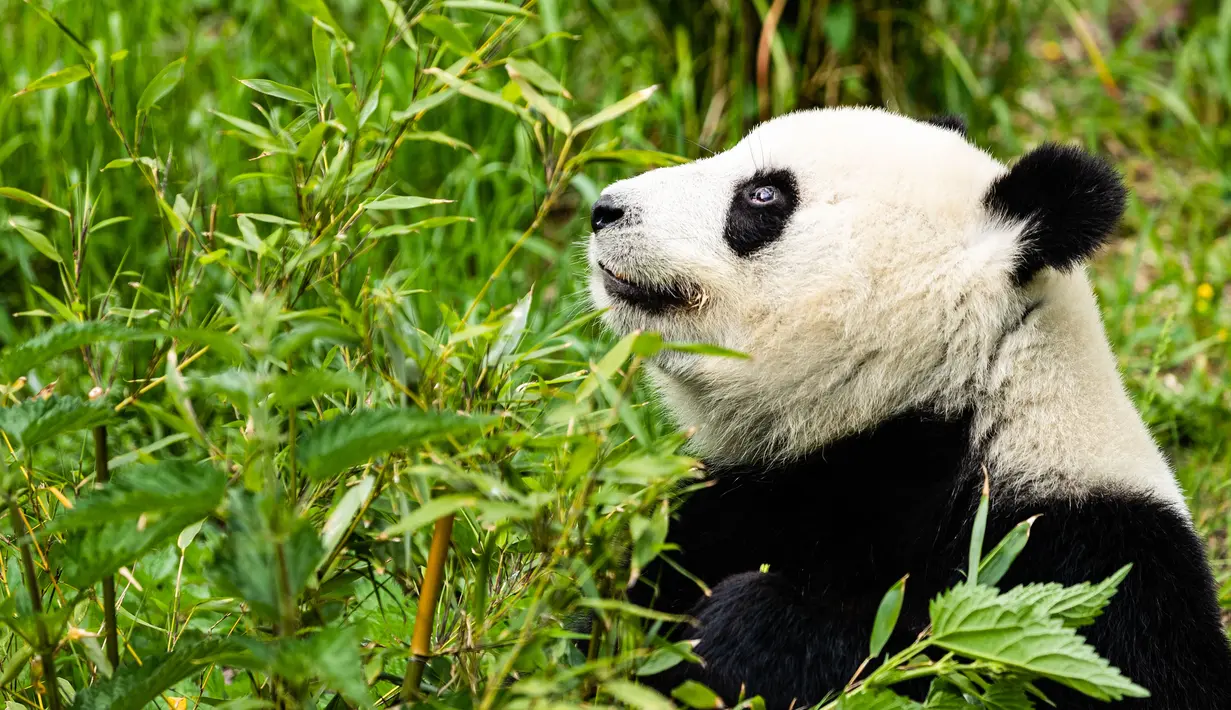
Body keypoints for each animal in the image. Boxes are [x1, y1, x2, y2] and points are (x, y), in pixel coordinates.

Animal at [585, 108, 1231, 709]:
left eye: (763, 194)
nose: (604, 209)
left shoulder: (1091, 565)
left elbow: (944, 657)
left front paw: (737, 635)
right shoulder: (757, 499)